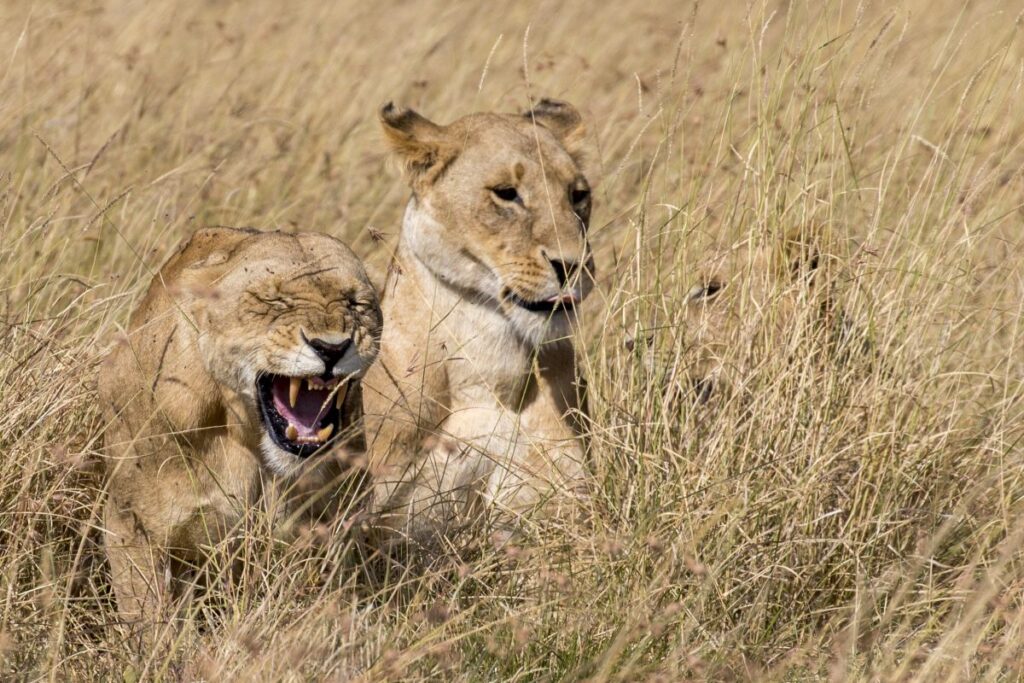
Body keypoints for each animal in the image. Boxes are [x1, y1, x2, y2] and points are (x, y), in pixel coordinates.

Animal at [99, 226, 381, 638]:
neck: (247, 433)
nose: (331, 348)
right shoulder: (132, 524)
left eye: (356, 303)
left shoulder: (334, 528)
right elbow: (149, 620)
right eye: (273, 301)